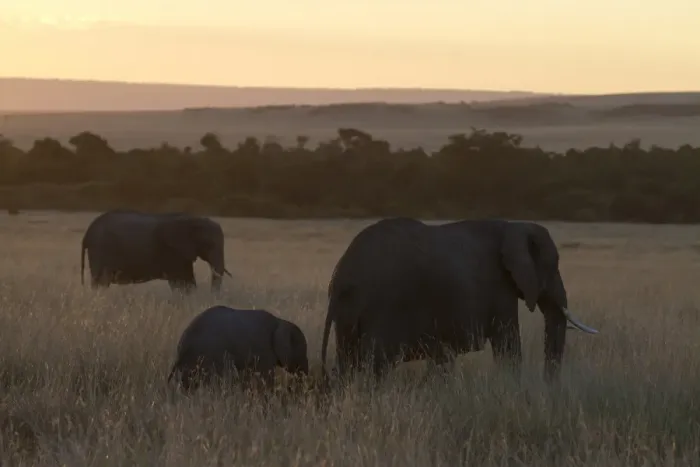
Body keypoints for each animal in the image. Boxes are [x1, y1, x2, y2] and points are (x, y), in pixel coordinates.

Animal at [80, 210, 232, 293]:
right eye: (209, 245)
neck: (193, 220)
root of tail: (87, 234)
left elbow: (188, 279)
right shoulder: (173, 251)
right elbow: (179, 281)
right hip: (99, 249)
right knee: (101, 281)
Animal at [320, 217, 599, 384]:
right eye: (553, 266)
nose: (549, 387)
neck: (513, 225)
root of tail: (340, 275)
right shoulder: (499, 285)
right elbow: (507, 342)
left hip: (350, 312)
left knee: (348, 361)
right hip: (381, 306)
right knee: (375, 365)